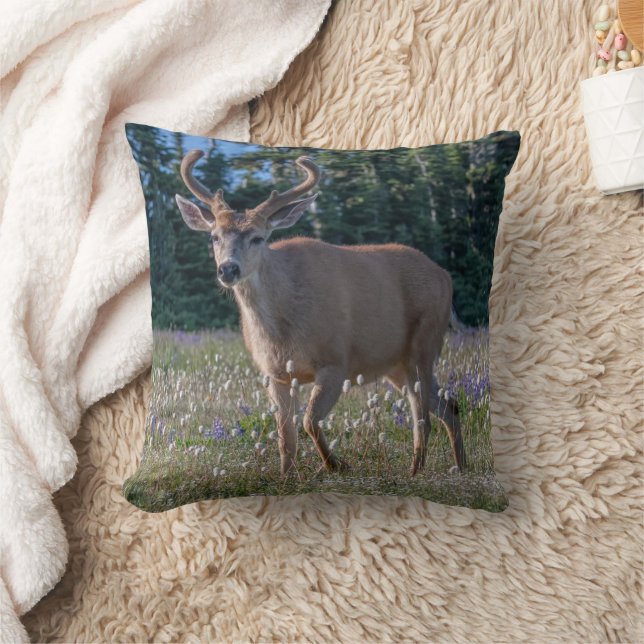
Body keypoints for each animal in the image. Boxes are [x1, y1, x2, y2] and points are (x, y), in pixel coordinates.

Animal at [175, 150, 466, 477]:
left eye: (258, 237)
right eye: (214, 236)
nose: (228, 269)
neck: (282, 329)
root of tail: (445, 276)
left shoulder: (336, 361)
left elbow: (309, 421)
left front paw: (337, 465)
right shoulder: (275, 374)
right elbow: (285, 438)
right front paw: (287, 477)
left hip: (424, 344)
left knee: (423, 418)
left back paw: (415, 473)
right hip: (397, 365)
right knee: (449, 407)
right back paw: (461, 467)